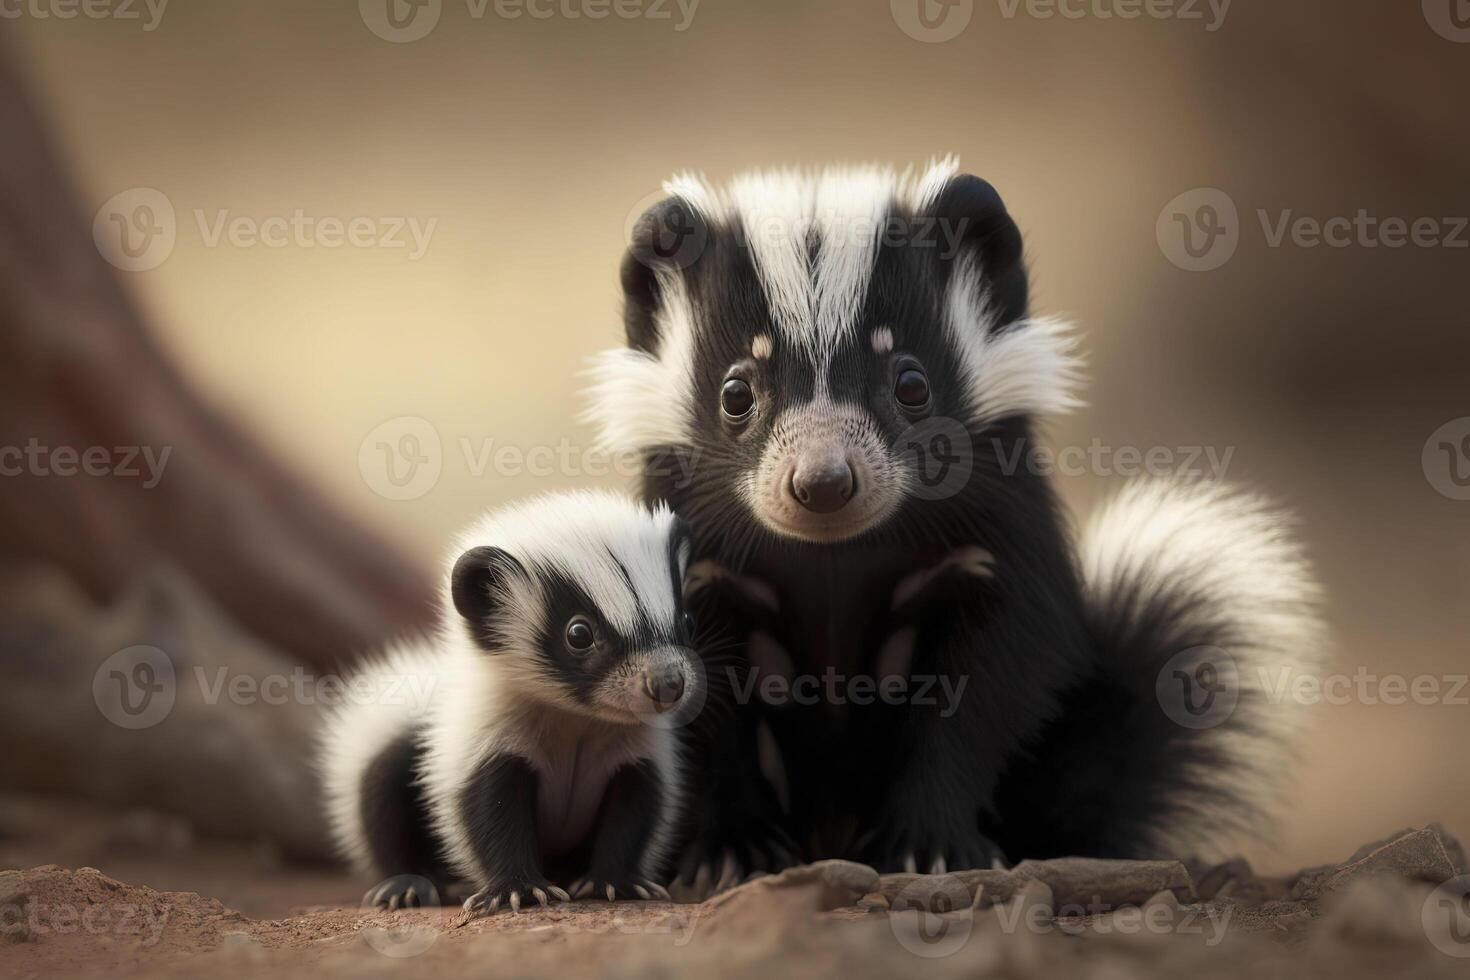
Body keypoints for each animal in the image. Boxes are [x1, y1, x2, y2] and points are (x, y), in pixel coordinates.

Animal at [316, 493, 693, 916]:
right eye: (578, 634)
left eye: (686, 619)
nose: (668, 684)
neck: (575, 723)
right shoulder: (484, 741)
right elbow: (489, 810)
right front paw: (518, 889)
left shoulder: (635, 756)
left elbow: (634, 810)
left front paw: (616, 882)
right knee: (381, 794)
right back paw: (409, 885)